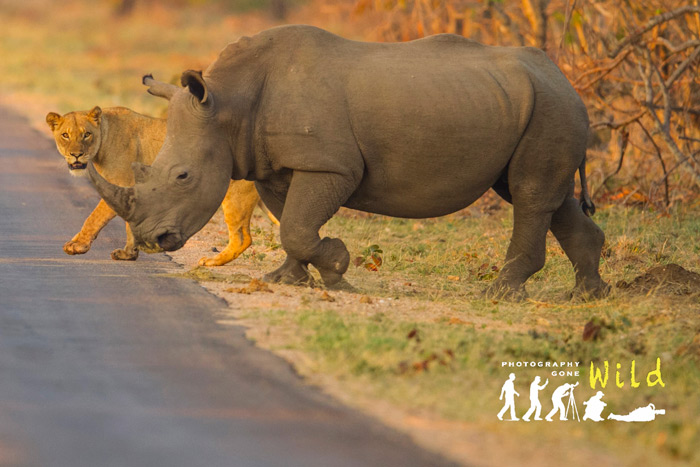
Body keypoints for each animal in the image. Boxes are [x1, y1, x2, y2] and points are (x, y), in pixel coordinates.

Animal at [46, 106, 277, 266]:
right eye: (65, 135)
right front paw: (128, 254)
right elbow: (129, 224)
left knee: (242, 238)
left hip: (235, 195)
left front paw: (76, 246)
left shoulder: (119, 184)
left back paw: (212, 262)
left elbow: (94, 218)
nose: (76, 154)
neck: (105, 136)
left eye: (86, 134)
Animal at [88, 25, 609, 298]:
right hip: (530, 103)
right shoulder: (277, 163)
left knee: (530, 194)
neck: (228, 104)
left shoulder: (328, 164)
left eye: (183, 176)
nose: (151, 241)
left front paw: (337, 269)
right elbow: (290, 222)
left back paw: (499, 293)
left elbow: (297, 225)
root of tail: (564, 76)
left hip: (552, 106)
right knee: (544, 196)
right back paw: (588, 294)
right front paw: (288, 279)